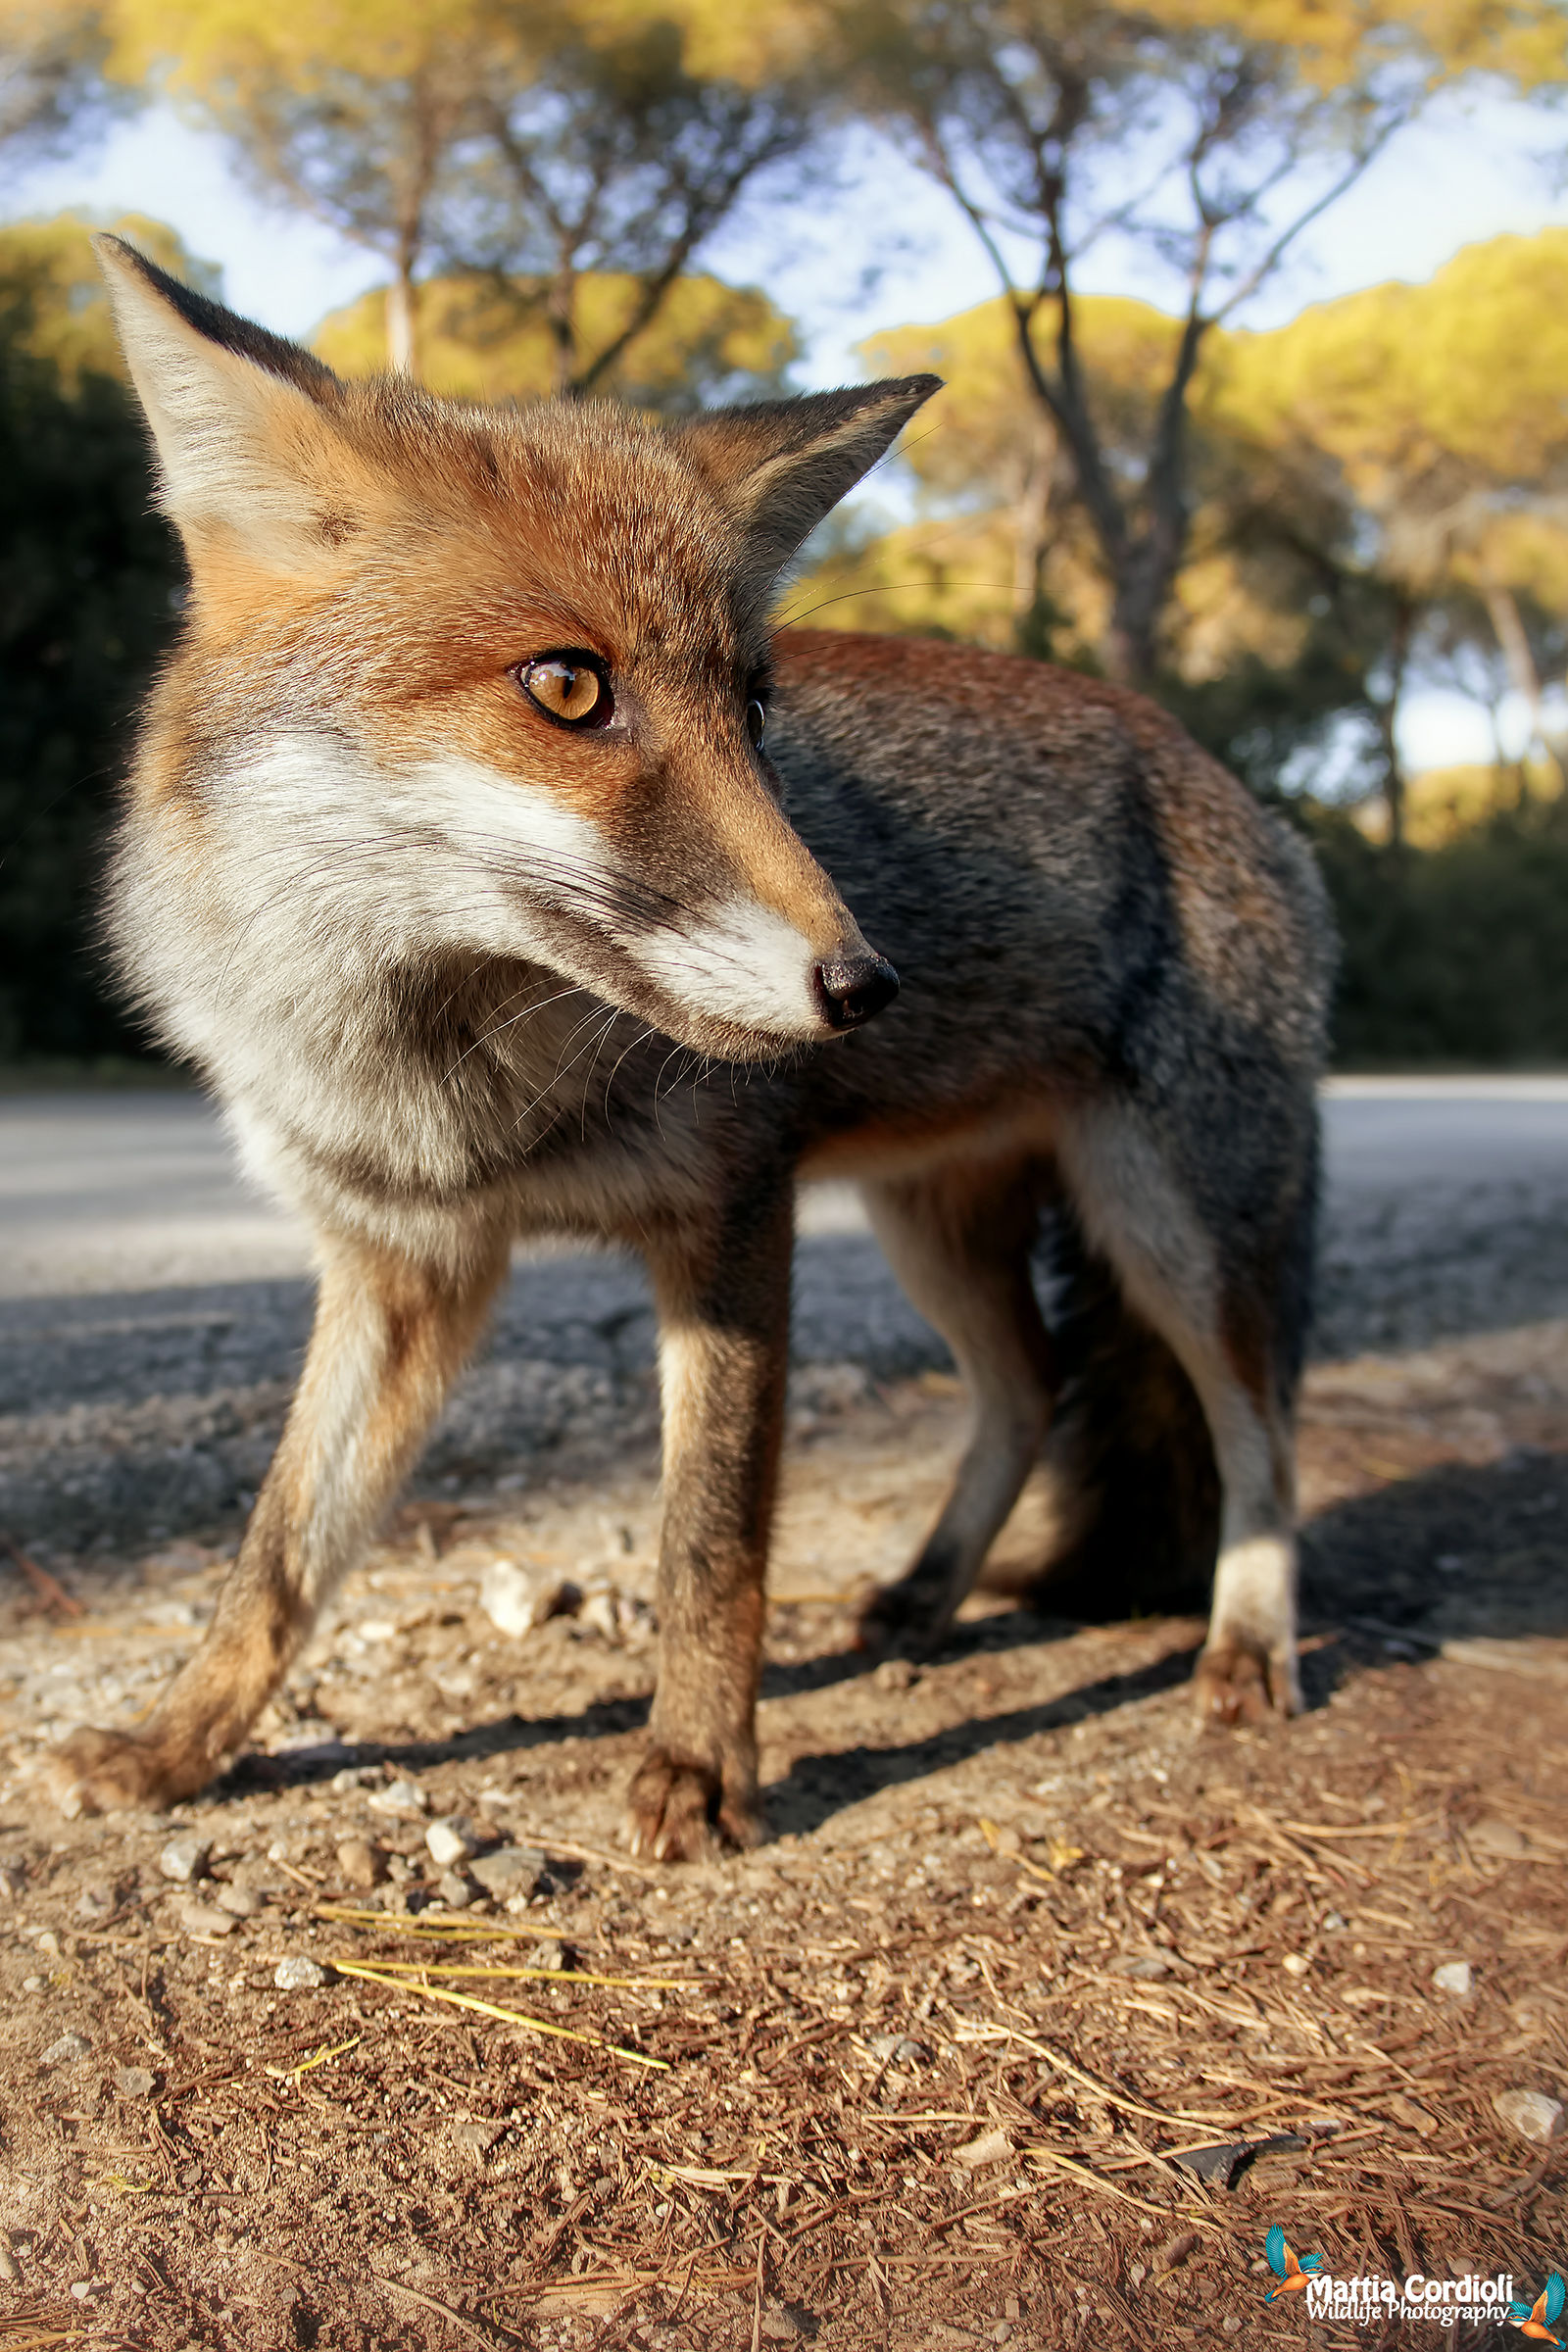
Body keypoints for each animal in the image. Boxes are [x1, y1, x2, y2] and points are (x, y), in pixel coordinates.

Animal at [52, 237, 1330, 1861]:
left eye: (758, 708)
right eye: (568, 686)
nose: (867, 982)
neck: (445, 1079)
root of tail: (1232, 783)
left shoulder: (729, 1221)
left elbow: (709, 1543)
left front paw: (702, 1762)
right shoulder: (404, 1262)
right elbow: (277, 1558)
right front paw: (178, 1746)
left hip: (1174, 1234)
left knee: (1260, 1431)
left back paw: (1246, 1645)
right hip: (938, 1231)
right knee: (1033, 1387)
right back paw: (927, 1593)